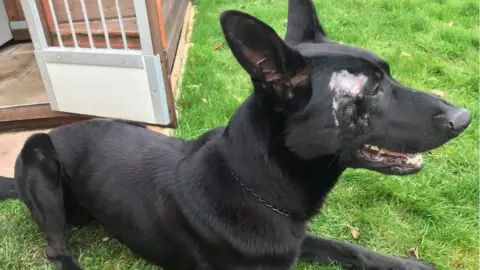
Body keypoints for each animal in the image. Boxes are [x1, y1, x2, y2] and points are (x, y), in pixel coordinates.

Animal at [0, 1, 472, 268]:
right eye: (371, 89)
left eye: (387, 75)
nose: (465, 116)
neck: (254, 185)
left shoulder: (294, 242)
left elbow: (350, 249)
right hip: (39, 157)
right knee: (57, 249)